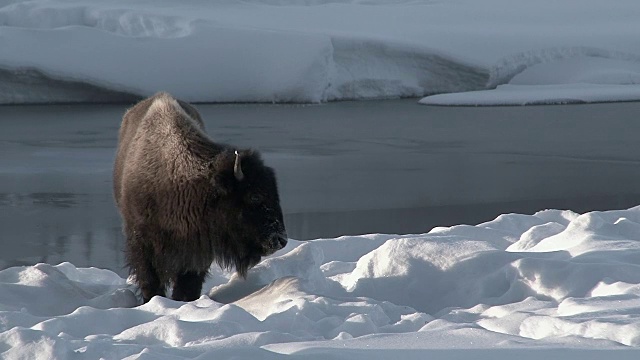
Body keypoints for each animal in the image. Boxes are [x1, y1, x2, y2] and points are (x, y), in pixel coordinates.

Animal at [113, 91, 288, 302]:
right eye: (254, 196)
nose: (280, 240)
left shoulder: (198, 250)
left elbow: (189, 282)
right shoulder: (141, 240)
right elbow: (149, 278)